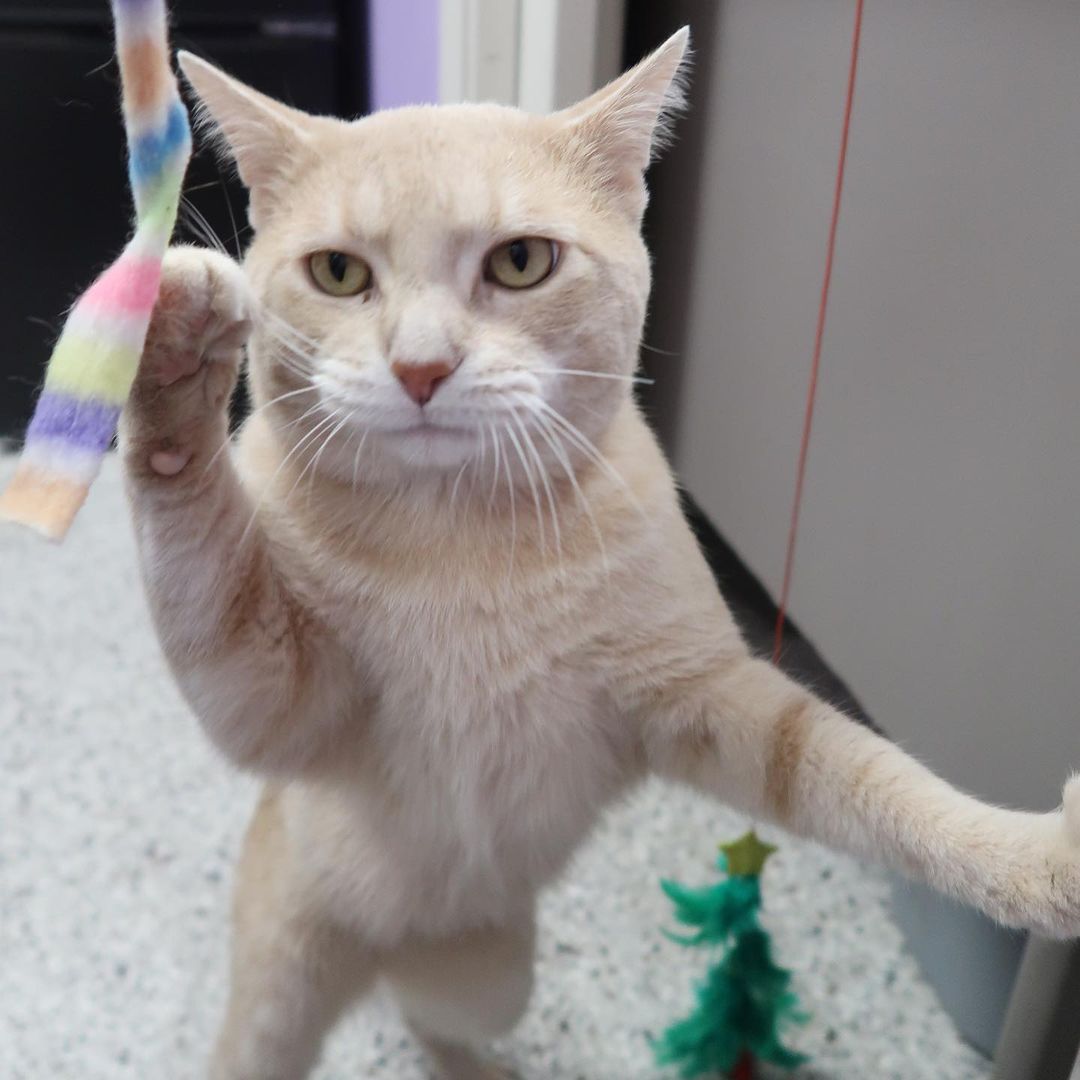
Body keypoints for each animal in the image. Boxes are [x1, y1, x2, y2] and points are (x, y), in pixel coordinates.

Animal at [118, 29, 1080, 1080]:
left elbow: (874, 782)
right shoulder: (278, 705)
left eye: (521, 261)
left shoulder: (708, 702)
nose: (421, 369)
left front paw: (1037, 863)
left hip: (495, 977)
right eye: (338, 273)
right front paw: (170, 362)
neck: (455, 545)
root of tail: (382, 957)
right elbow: (203, 555)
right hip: (280, 989)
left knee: (432, 1017)